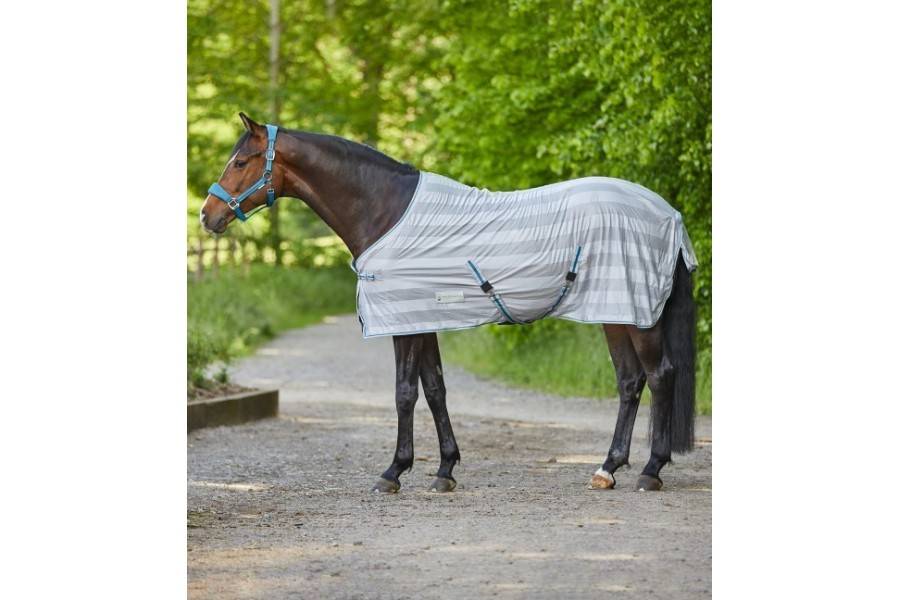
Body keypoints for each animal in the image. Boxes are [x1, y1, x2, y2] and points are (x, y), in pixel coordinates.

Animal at [200, 113, 697, 493]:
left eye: (240, 161)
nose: (207, 215)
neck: (384, 210)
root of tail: (666, 213)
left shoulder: (403, 321)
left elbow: (404, 393)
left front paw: (393, 473)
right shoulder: (423, 319)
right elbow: (435, 389)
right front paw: (444, 470)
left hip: (638, 316)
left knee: (659, 375)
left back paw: (651, 471)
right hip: (616, 312)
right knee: (630, 382)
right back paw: (607, 469)